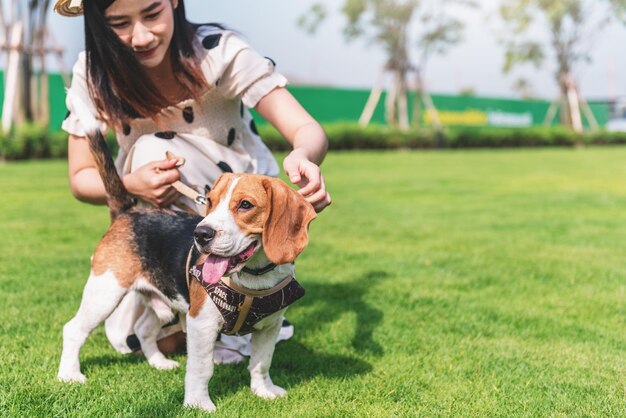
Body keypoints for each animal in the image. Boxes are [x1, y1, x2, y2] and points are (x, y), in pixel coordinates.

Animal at [56, 106, 314, 414]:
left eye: (245, 205)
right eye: (210, 201)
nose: (201, 234)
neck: (253, 277)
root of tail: (127, 211)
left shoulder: (270, 326)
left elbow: (261, 362)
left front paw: (263, 391)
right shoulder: (201, 323)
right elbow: (201, 369)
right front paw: (198, 404)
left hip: (163, 301)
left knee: (144, 330)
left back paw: (159, 363)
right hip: (105, 292)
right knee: (73, 329)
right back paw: (69, 374)